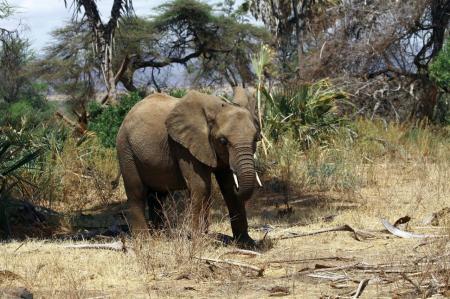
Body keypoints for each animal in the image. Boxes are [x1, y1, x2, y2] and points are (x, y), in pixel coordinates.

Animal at [116, 87, 262, 248]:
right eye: (223, 141)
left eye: (256, 139)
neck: (217, 108)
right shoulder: (184, 146)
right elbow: (201, 186)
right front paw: (199, 241)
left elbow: (228, 189)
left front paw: (247, 243)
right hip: (125, 149)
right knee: (136, 192)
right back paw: (145, 241)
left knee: (158, 196)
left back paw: (161, 236)